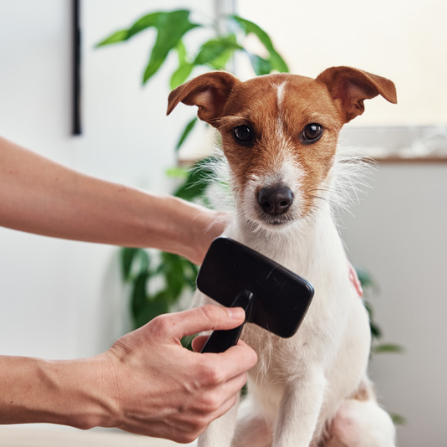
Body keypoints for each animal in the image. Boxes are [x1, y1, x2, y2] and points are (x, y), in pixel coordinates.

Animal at [168, 67, 400, 447]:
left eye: (313, 130)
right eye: (243, 132)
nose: (275, 198)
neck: (276, 255)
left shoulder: (306, 384)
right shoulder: (225, 371)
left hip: (355, 422)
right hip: (250, 425)